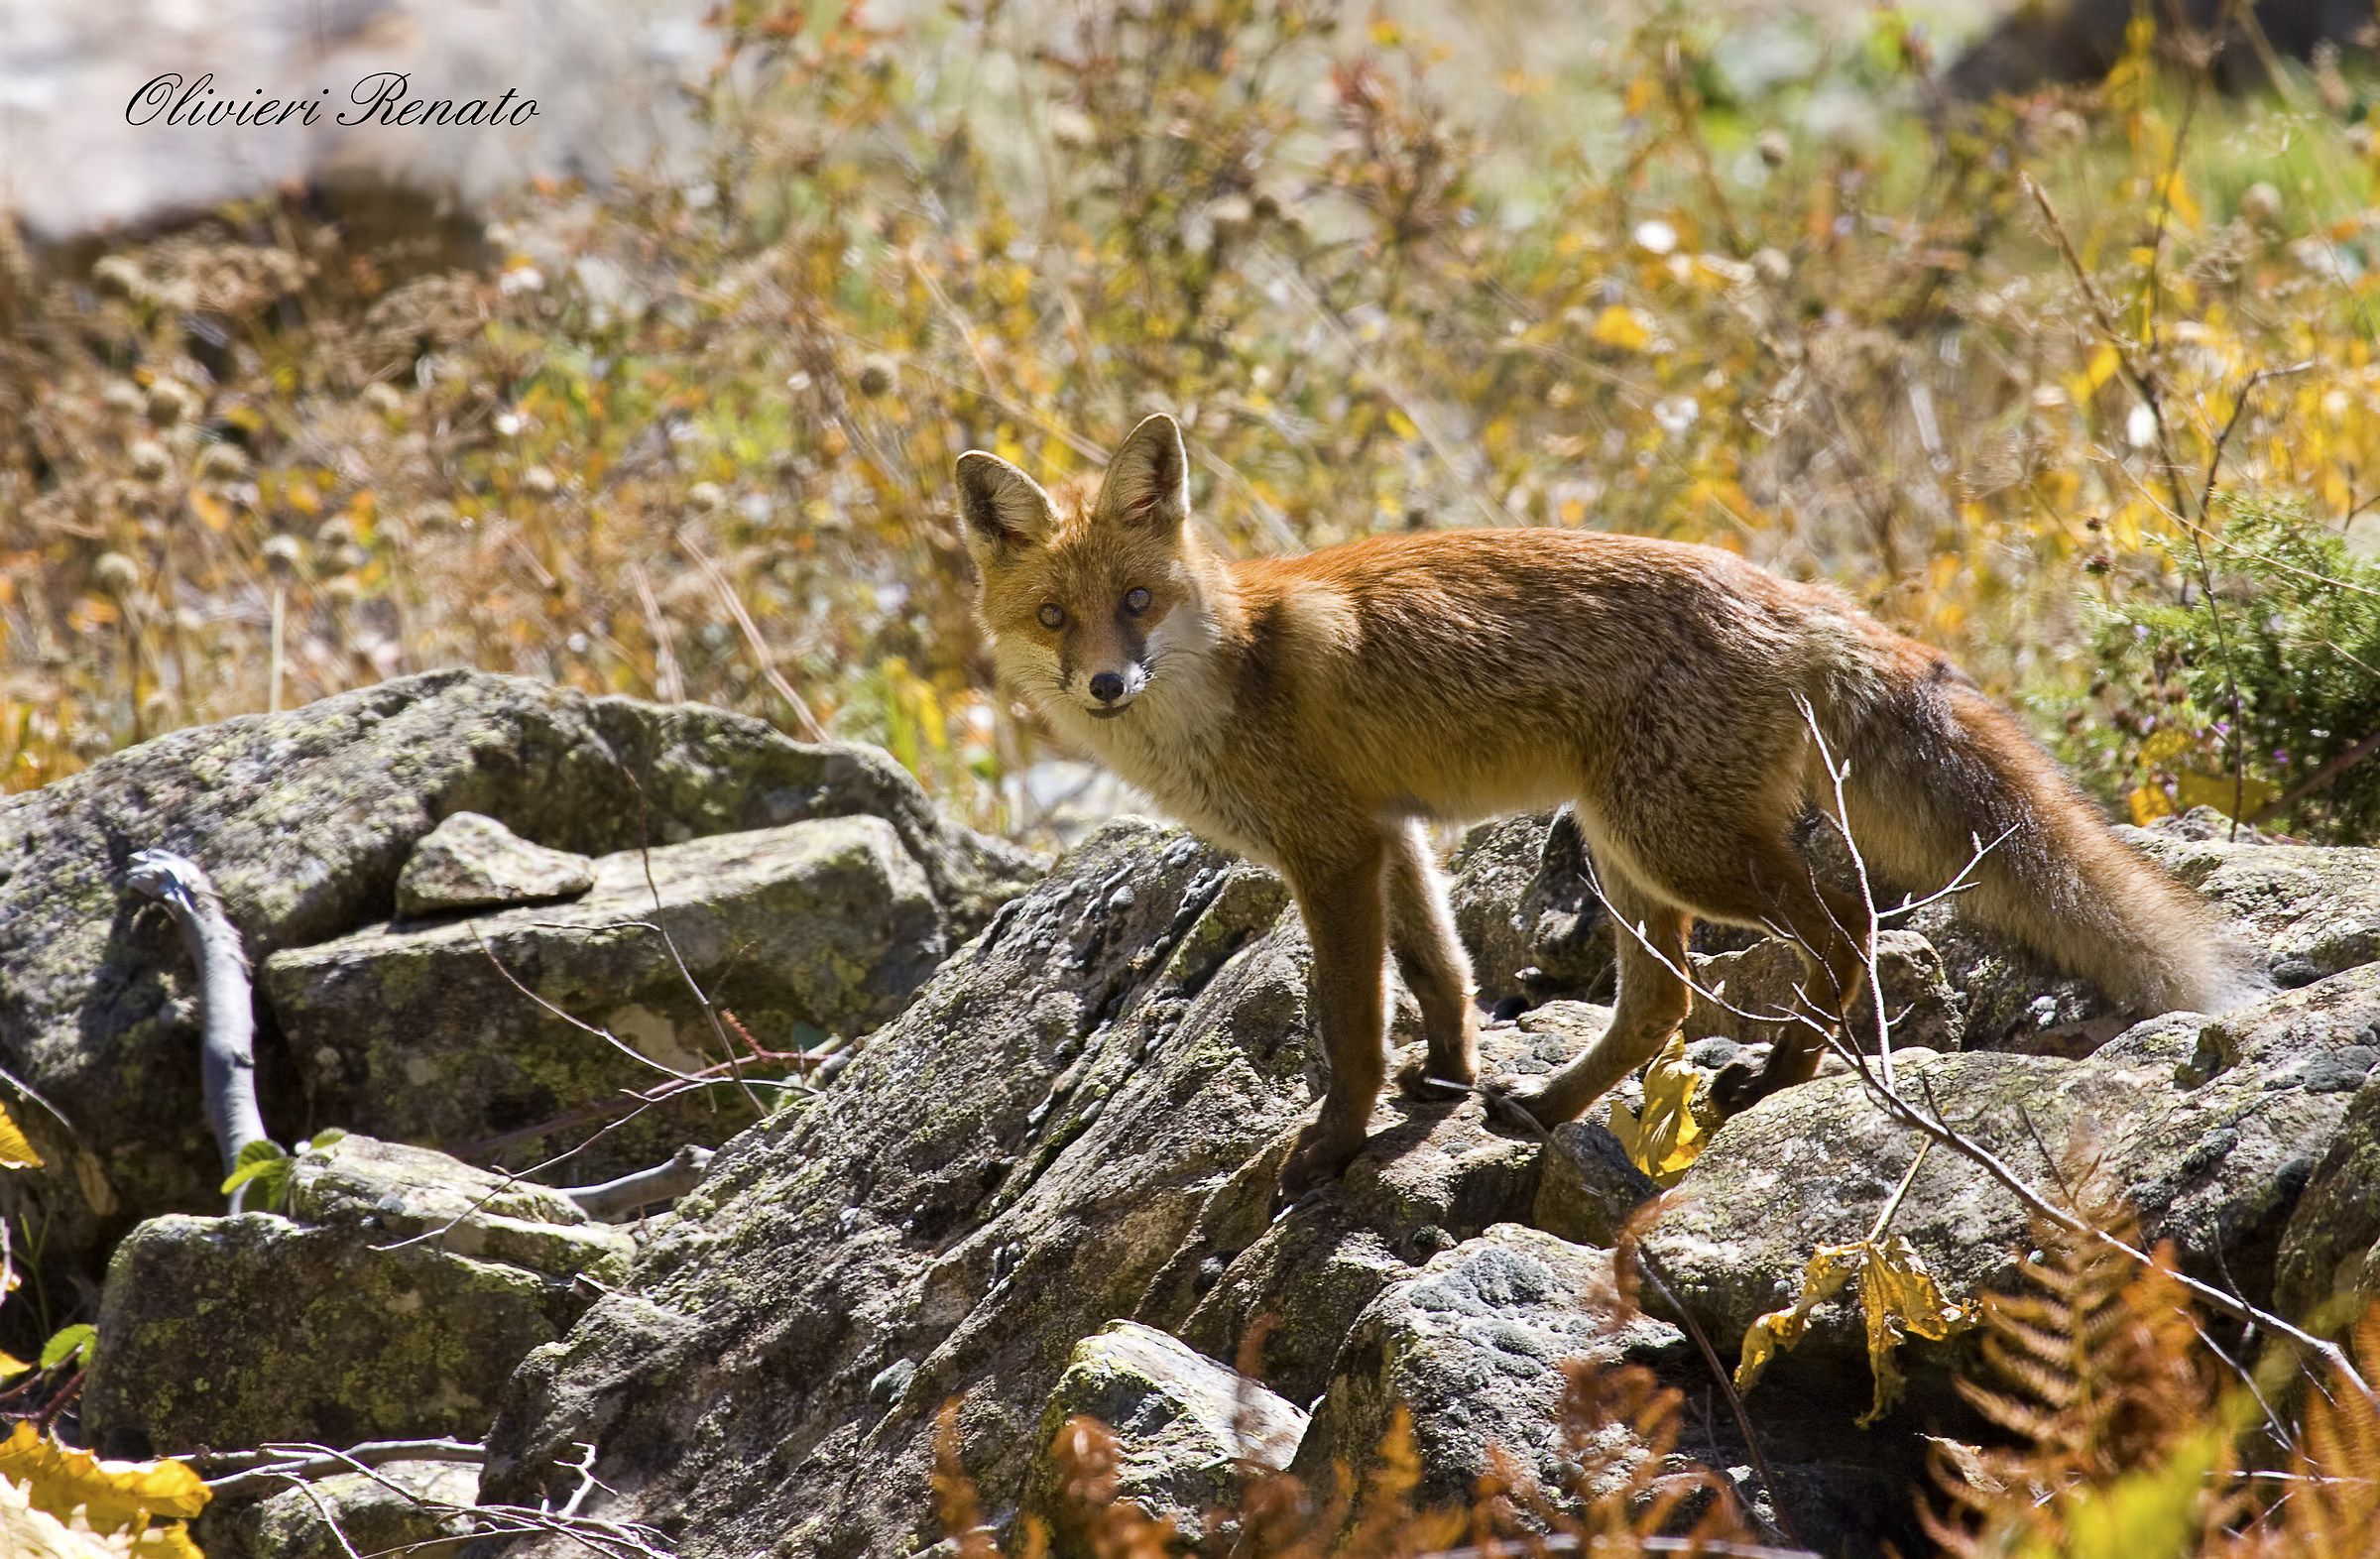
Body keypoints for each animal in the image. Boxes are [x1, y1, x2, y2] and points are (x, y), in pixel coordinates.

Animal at [956, 413, 2259, 1200]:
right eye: (1057, 619)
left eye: (1137, 601)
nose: (1107, 685)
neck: (1231, 669)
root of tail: (1795, 595)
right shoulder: (1392, 834)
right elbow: (1443, 973)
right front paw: (1449, 1079)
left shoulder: (1329, 855)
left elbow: (1354, 1027)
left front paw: (1332, 1146)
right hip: (1625, 852)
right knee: (1663, 1006)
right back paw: (1550, 1103)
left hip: (1673, 845)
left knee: (1841, 925)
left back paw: (1783, 1071)